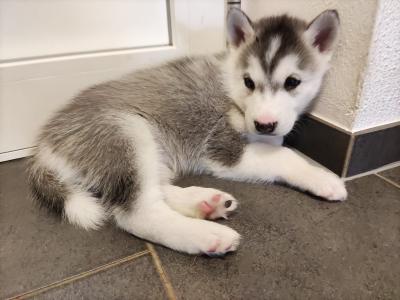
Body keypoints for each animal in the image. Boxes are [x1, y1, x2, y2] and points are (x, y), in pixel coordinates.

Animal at [28, 8, 346, 254]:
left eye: (293, 82)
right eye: (249, 82)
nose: (264, 124)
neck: (231, 88)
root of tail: (44, 143)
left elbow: (277, 147)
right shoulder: (223, 149)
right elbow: (284, 155)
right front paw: (323, 178)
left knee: (153, 187)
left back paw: (204, 203)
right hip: (126, 130)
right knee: (139, 211)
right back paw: (205, 235)